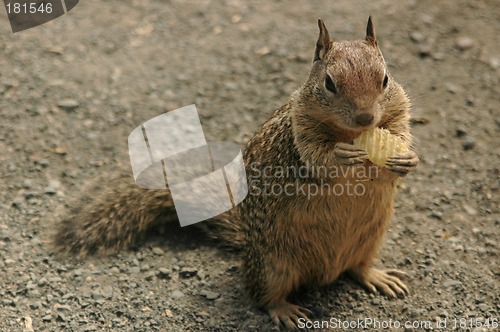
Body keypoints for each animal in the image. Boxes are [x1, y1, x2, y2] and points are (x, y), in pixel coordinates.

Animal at [54, 18, 418, 330]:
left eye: (385, 79)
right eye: (329, 83)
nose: (365, 118)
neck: (350, 134)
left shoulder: (398, 112)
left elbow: (397, 146)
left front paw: (407, 159)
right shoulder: (299, 135)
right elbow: (317, 160)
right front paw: (341, 156)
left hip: (370, 240)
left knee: (357, 267)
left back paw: (378, 276)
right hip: (274, 265)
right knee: (261, 295)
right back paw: (284, 310)